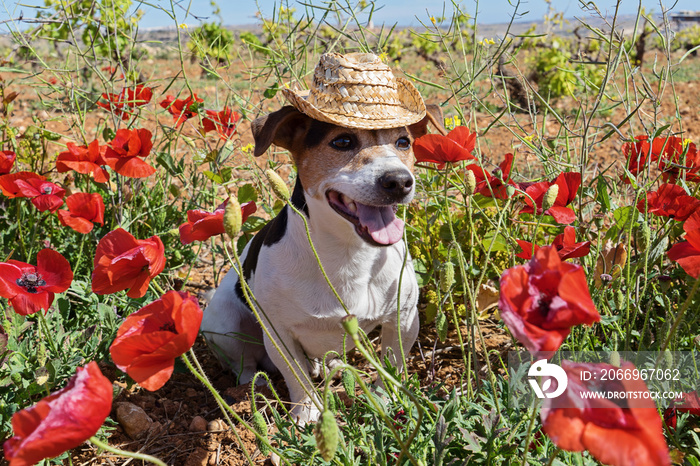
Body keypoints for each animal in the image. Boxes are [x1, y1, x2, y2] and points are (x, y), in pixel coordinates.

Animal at [202, 52, 440, 422]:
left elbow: (392, 366)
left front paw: (386, 403)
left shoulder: (403, 319)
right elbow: (295, 375)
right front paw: (306, 414)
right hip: (223, 321)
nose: (399, 181)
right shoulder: (279, 333)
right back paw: (255, 386)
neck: (347, 254)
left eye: (404, 142)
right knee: (245, 364)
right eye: (342, 141)